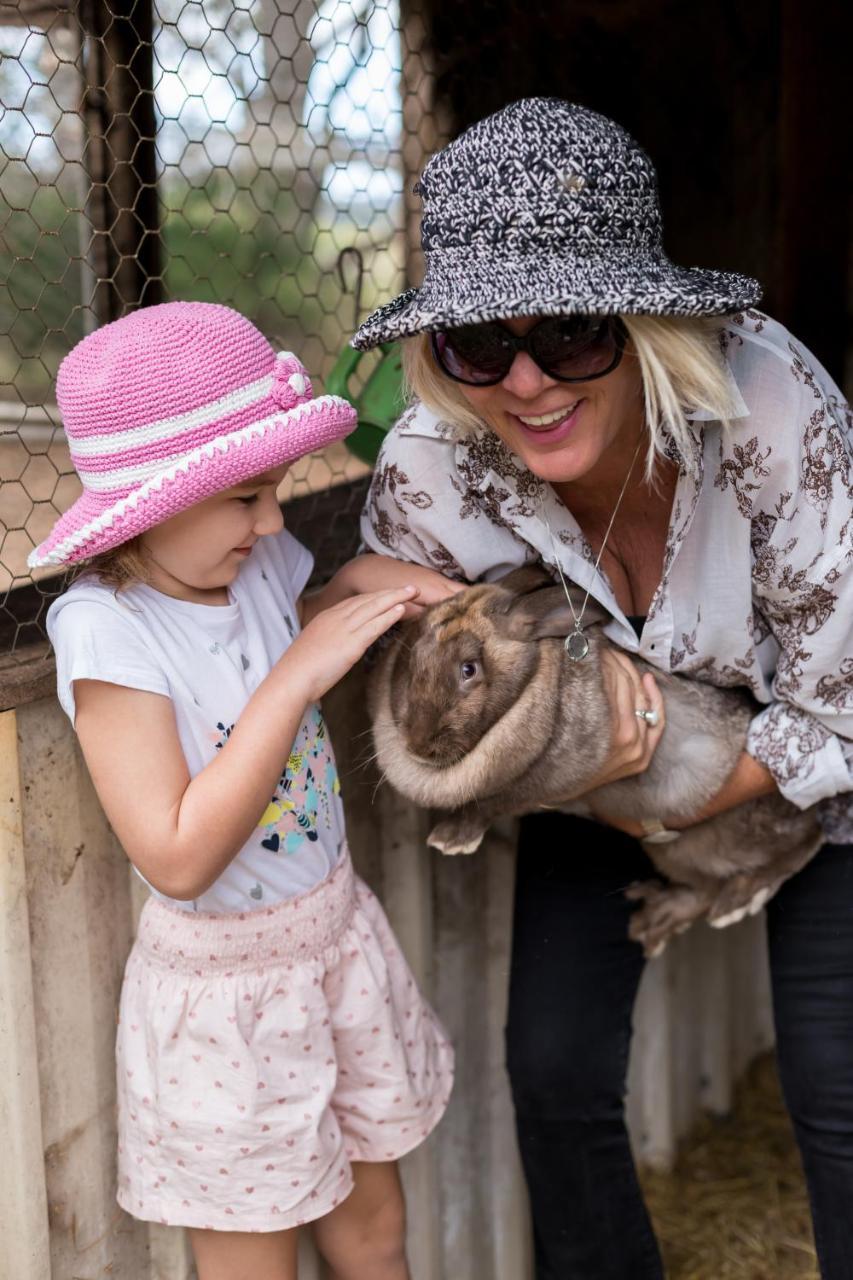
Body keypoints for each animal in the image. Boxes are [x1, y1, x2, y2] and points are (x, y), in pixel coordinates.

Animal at [368, 565, 819, 957]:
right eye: (413, 658)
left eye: (469, 669)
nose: (416, 743)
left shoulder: (545, 784)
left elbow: (490, 804)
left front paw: (449, 841)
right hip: (674, 851)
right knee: (702, 890)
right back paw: (652, 922)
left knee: (800, 846)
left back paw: (737, 903)